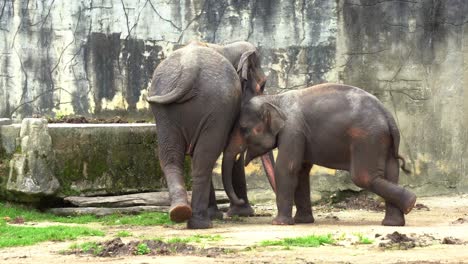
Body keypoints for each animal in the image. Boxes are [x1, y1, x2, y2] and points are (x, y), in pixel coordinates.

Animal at [147, 41, 274, 229]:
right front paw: (241, 212)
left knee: (172, 155)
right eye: (262, 85)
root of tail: (189, 68)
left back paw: (180, 212)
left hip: (165, 107)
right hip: (216, 105)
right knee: (206, 156)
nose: (241, 201)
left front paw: (225, 213)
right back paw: (201, 222)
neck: (226, 47)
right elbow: (232, 154)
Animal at [238, 83, 416, 226]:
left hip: (368, 138)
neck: (275, 99)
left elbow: (288, 168)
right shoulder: (301, 135)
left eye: (244, 130)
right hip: (384, 141)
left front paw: (279, 224)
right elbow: (301, 172)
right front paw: (302, 222)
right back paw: (395, 221)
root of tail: (387, 115)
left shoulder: (292, 130)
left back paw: (410, 203)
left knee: (363, 177)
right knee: (391, 172)